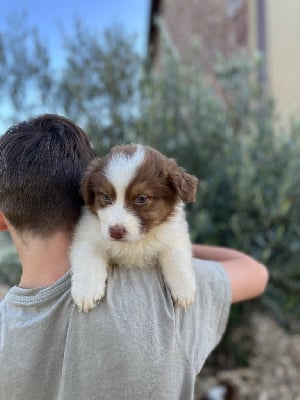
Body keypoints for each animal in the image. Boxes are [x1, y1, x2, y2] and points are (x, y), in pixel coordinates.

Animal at [70, 144, 199, 312]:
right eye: (105, 197)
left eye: (141, 199)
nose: (116, 232)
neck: (135, 243)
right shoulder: (87, 235)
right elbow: (88, 258)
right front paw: (86, 292)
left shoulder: (174, 233)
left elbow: (177, 257)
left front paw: (184, 291)